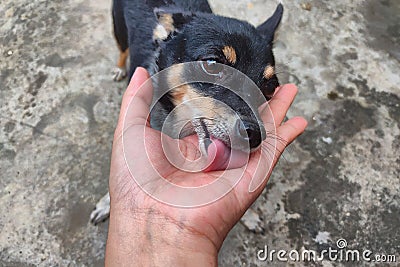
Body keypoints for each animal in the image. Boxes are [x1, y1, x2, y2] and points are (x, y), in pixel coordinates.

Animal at [89, 0, 282, 226]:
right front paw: (106, 203)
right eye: (212, 64)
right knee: (122, 50)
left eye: (270, 88)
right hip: (118, 28)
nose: (254, 135)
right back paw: (120, 68)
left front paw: (249, 215)